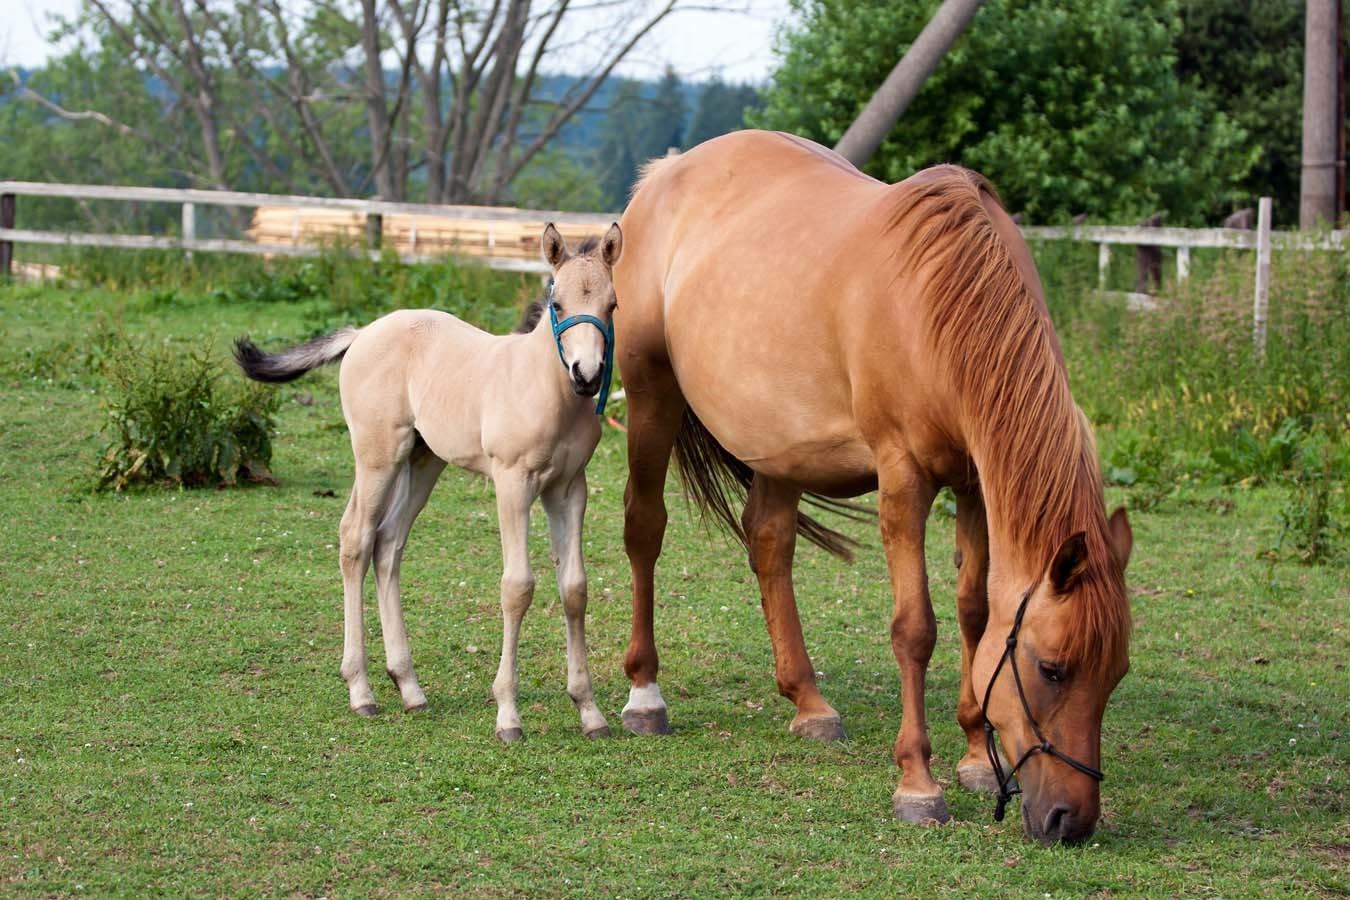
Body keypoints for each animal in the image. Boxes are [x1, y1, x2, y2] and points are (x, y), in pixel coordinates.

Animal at [234, 223, 622, 744]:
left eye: (611, 305)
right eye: (558, 304)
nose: (587, 375)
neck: (544, 389)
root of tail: (363, 333)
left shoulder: (569, 489)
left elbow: (575, 589)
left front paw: (590, 712)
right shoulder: (513, 483)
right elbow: (517, 587)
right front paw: (508, 715)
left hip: (423, 462)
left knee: (388, 544)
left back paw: (409, 687)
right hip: (378, 457)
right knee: (355, 539)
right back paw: (361, 690)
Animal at [612, 131, 1133, 844]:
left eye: (1117, 674)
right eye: (1051, 668)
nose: (1070, 821)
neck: (939, 302)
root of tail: (663, 175)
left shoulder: (973, 481)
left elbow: (975, 611)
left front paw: (976, 756)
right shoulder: (903, 478)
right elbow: (915, 628)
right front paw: (918, 783)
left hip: (779, 442)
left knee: (769, 542)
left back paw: (809, 703)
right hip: (649, 395)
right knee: (645, 528)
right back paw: (645, 694)